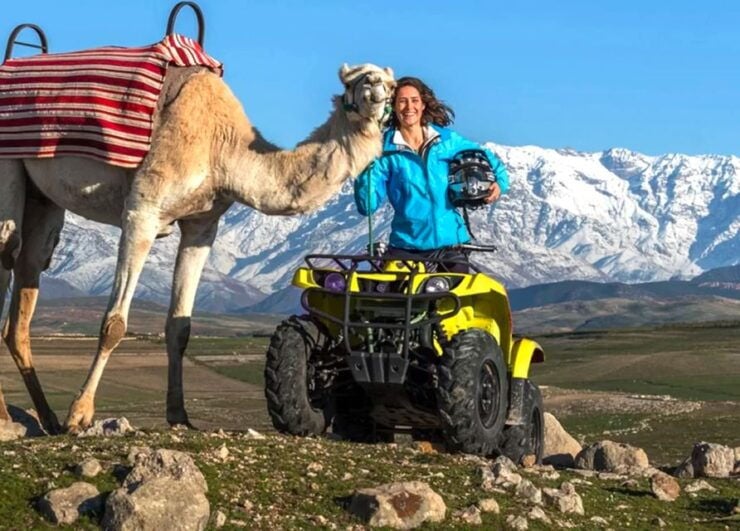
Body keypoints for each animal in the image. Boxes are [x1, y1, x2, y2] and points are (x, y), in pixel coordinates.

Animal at [0, 62, 395, 433]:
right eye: (356, 80)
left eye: (390, 82)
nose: (379, 89)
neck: (223, 148)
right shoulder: (142, 212)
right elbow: (114, 324)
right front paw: (79, 415)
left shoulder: (202, 226)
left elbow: (181, 328)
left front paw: (179, 416)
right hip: (10, 168)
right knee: (9, 245)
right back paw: (10, 419)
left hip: (44, 199)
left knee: (27, 275)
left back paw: (46, 418)